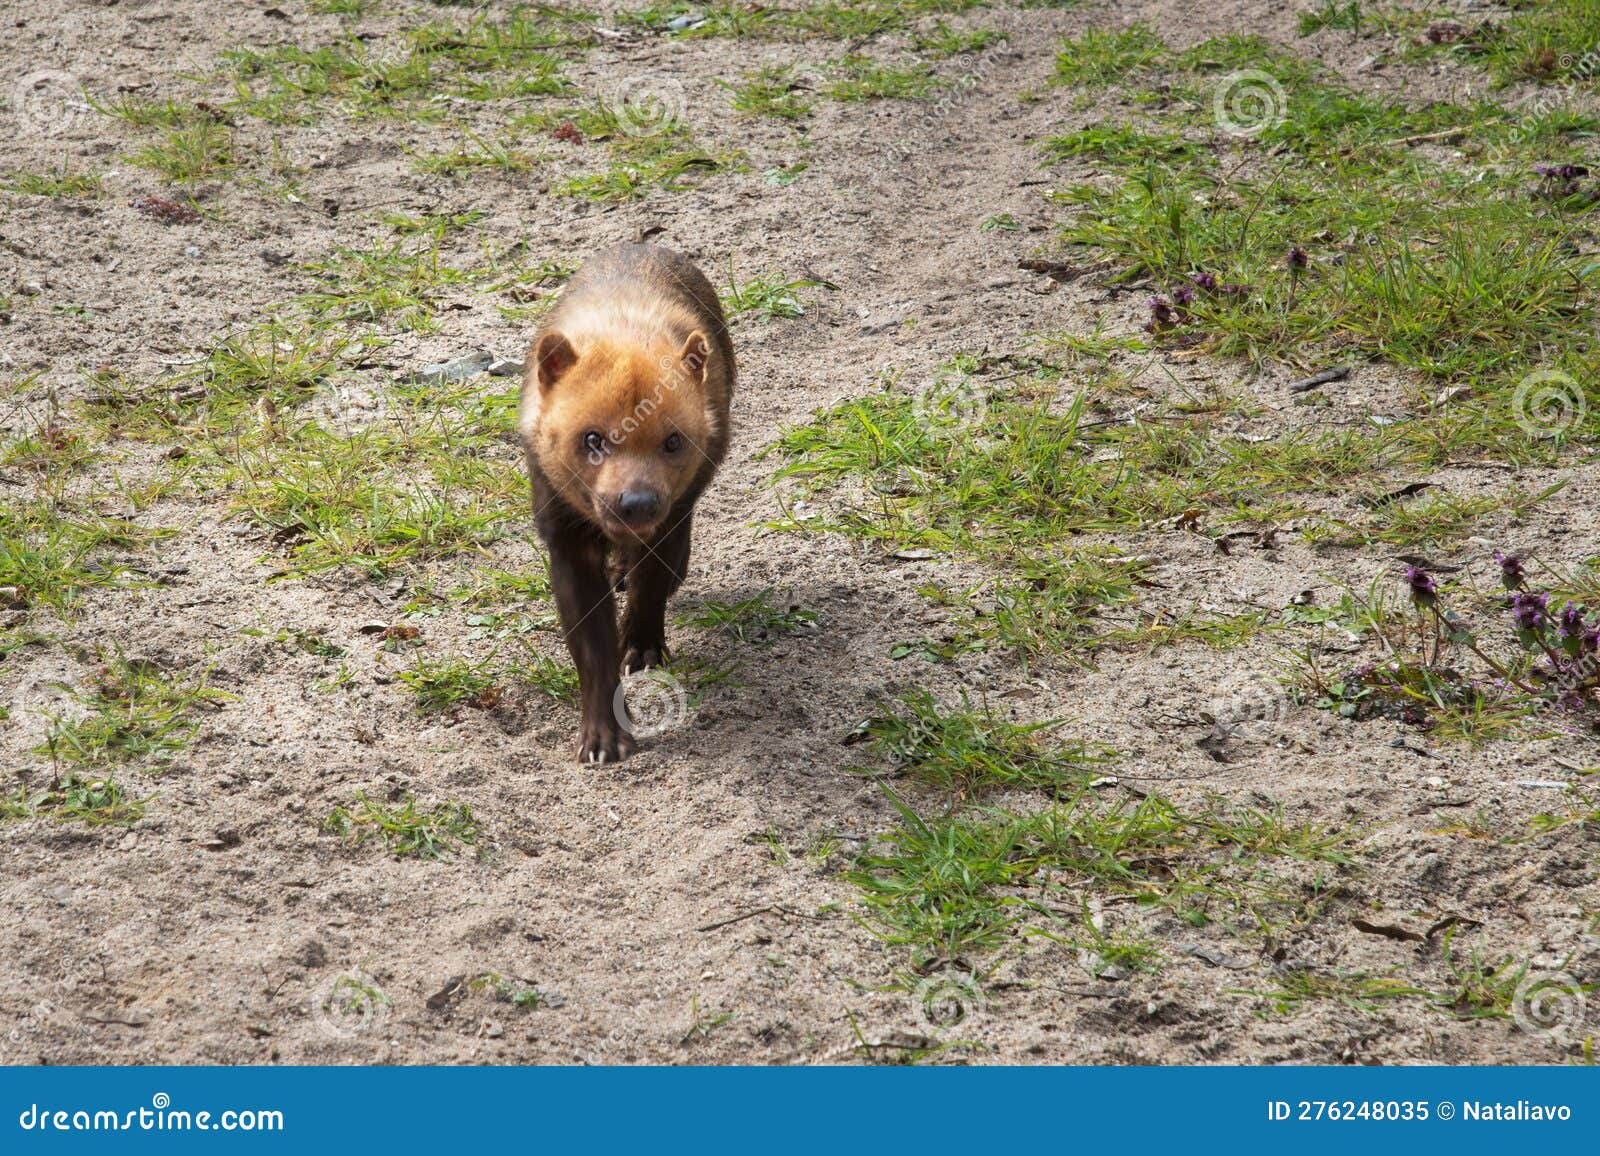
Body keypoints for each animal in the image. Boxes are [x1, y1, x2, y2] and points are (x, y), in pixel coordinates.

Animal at [518, 241, 732, 762]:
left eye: (673, 441)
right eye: (592, 438)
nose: (636, 501)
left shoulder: (669, 517)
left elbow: (651, 583)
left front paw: (642, 649)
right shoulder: (566, 537)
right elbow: (592, 648)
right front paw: (603, 739)